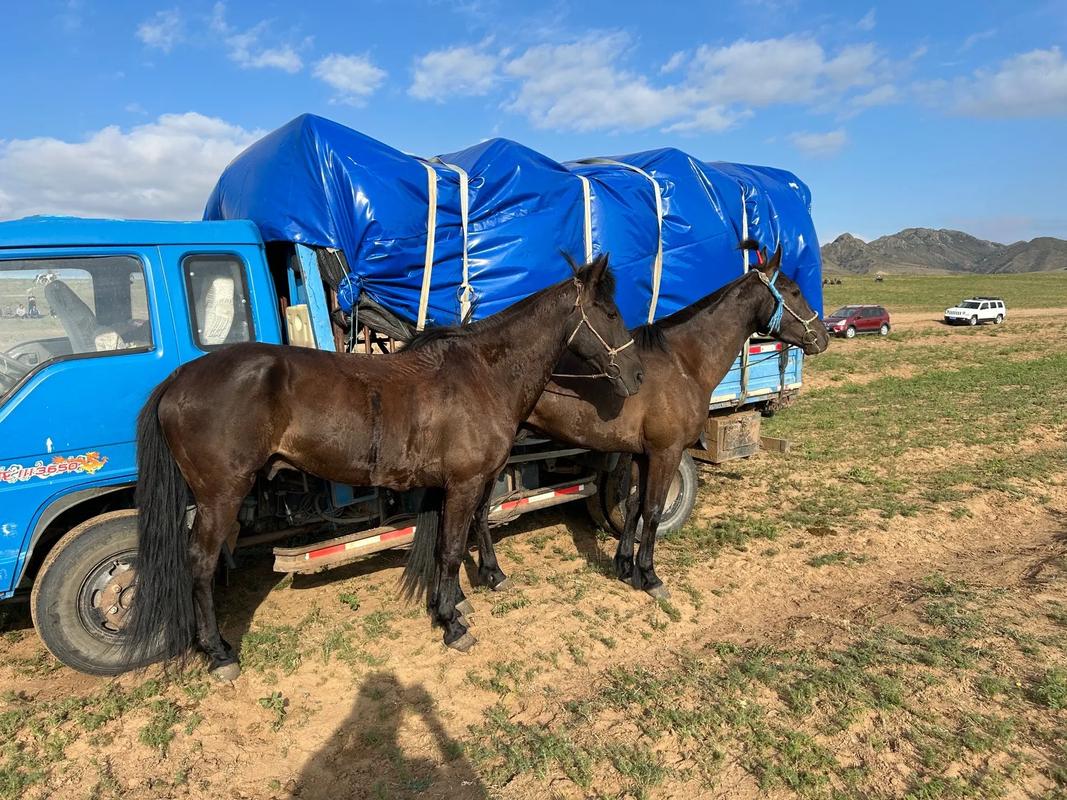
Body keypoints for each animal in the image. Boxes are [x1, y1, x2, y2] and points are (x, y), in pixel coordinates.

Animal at [124, 254, 640, 678]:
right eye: (611, 313)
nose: (635, 377)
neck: (481, 374)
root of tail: (179, 378)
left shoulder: (466, 482)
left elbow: (466, 534)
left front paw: (470, 592)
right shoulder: (465, 483)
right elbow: (451, 549)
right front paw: (452, 623)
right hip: (221, 496)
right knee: (200, 560)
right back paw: (218, 653)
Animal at [471, 244, 827, 601]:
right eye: (795, 291)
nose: (822, 337)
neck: (683, 362)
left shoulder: (642, 454)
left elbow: (634, 507)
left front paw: (625, 567)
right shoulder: (666, 452)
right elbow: (653, 510)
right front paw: (650, 576)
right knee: (479, 511)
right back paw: (492, 574)